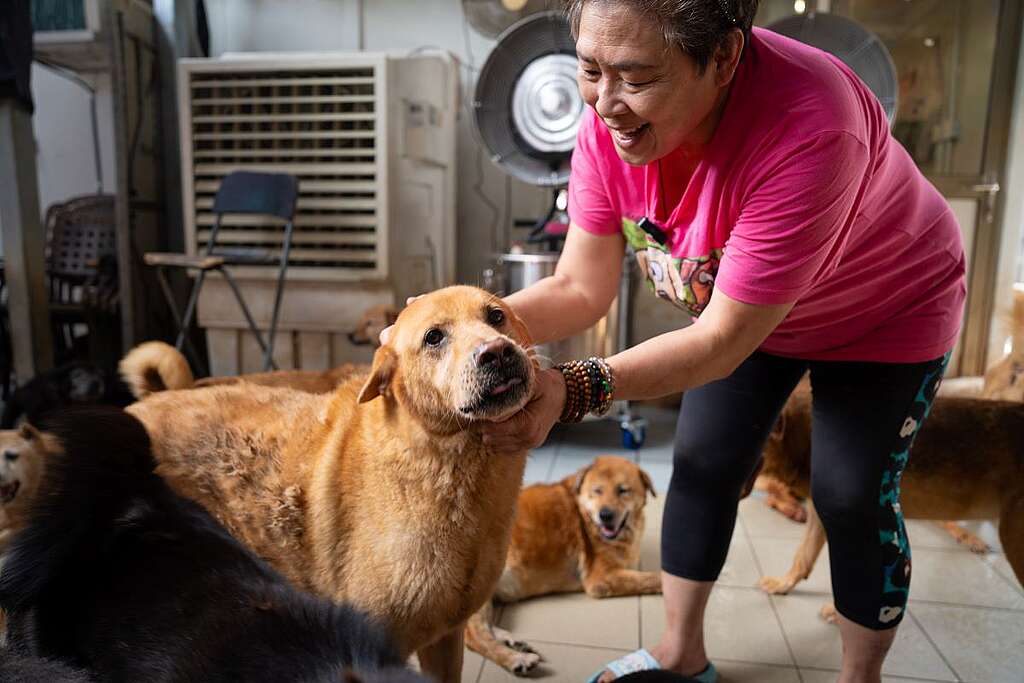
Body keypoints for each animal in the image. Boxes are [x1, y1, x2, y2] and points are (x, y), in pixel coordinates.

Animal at [466, 456, 663, 675]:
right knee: (473, 636)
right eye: (597, 490)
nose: (605, 515)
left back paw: (513, 642)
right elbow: (654, 577)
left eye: (623, 490)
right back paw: (515, 658)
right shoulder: (600, 579)